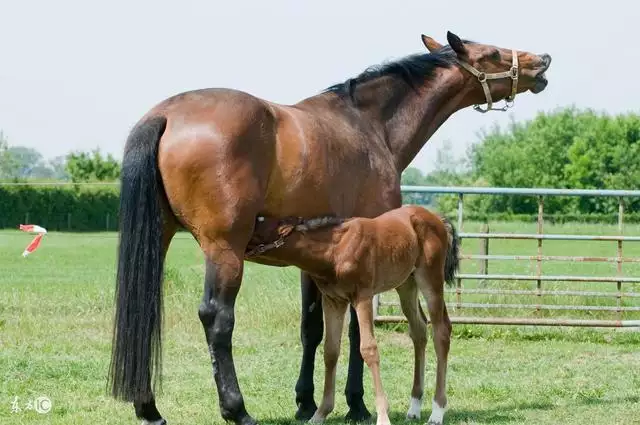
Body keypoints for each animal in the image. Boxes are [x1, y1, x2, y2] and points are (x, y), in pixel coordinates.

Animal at [250, 204, 460, 422]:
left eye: (259, 221)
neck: (335, 250)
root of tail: (437, 218)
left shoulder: (363, 297)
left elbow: (369, 349)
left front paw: (383, 416)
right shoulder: (333, 300)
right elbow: (330, 351)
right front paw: (320, 414)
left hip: (430, 279)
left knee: (441, 331)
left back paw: (437, 412)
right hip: (406, 284)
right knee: (419, 330)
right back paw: (414, 407)